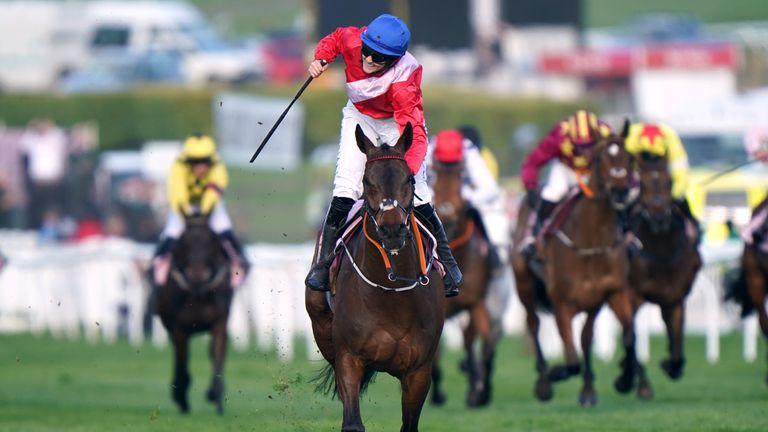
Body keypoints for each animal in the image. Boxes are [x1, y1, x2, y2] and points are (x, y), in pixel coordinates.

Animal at [153, 218, 231, 414]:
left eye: (211, 241)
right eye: (184, 243)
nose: (198, 273)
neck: (198, 293)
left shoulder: (219, 323)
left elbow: (217, 356)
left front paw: (215, 395)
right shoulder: (179, 328)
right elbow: (182, 361)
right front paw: (180, 396)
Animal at [306, 123, 444, 430]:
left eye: (410, 180)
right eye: (368, 181)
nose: (392, 230)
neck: (391, 295)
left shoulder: (419, 372)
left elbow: (409, 425)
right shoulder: (349, 359)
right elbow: (352, 422)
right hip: (321, 325)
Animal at [512, 130, 640, 406]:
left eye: (629, 157)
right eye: (601, 158)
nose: (620, 191)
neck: (590, 242)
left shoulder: (611, 293)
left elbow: (627, 335)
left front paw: (624, 379)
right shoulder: (562, 301)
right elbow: (571, 361)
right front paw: (554, 373)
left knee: (585, 337)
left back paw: (588, 390)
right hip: (524, 284)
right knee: (533, 323)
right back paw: (543, 381)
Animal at [632, 153, 704, 398]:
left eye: (668, 181)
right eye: (641, 183)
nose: (659, 217)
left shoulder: (674, 297)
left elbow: (676, 338)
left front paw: (671, 365)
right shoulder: (632, 297)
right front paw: (642, 385)